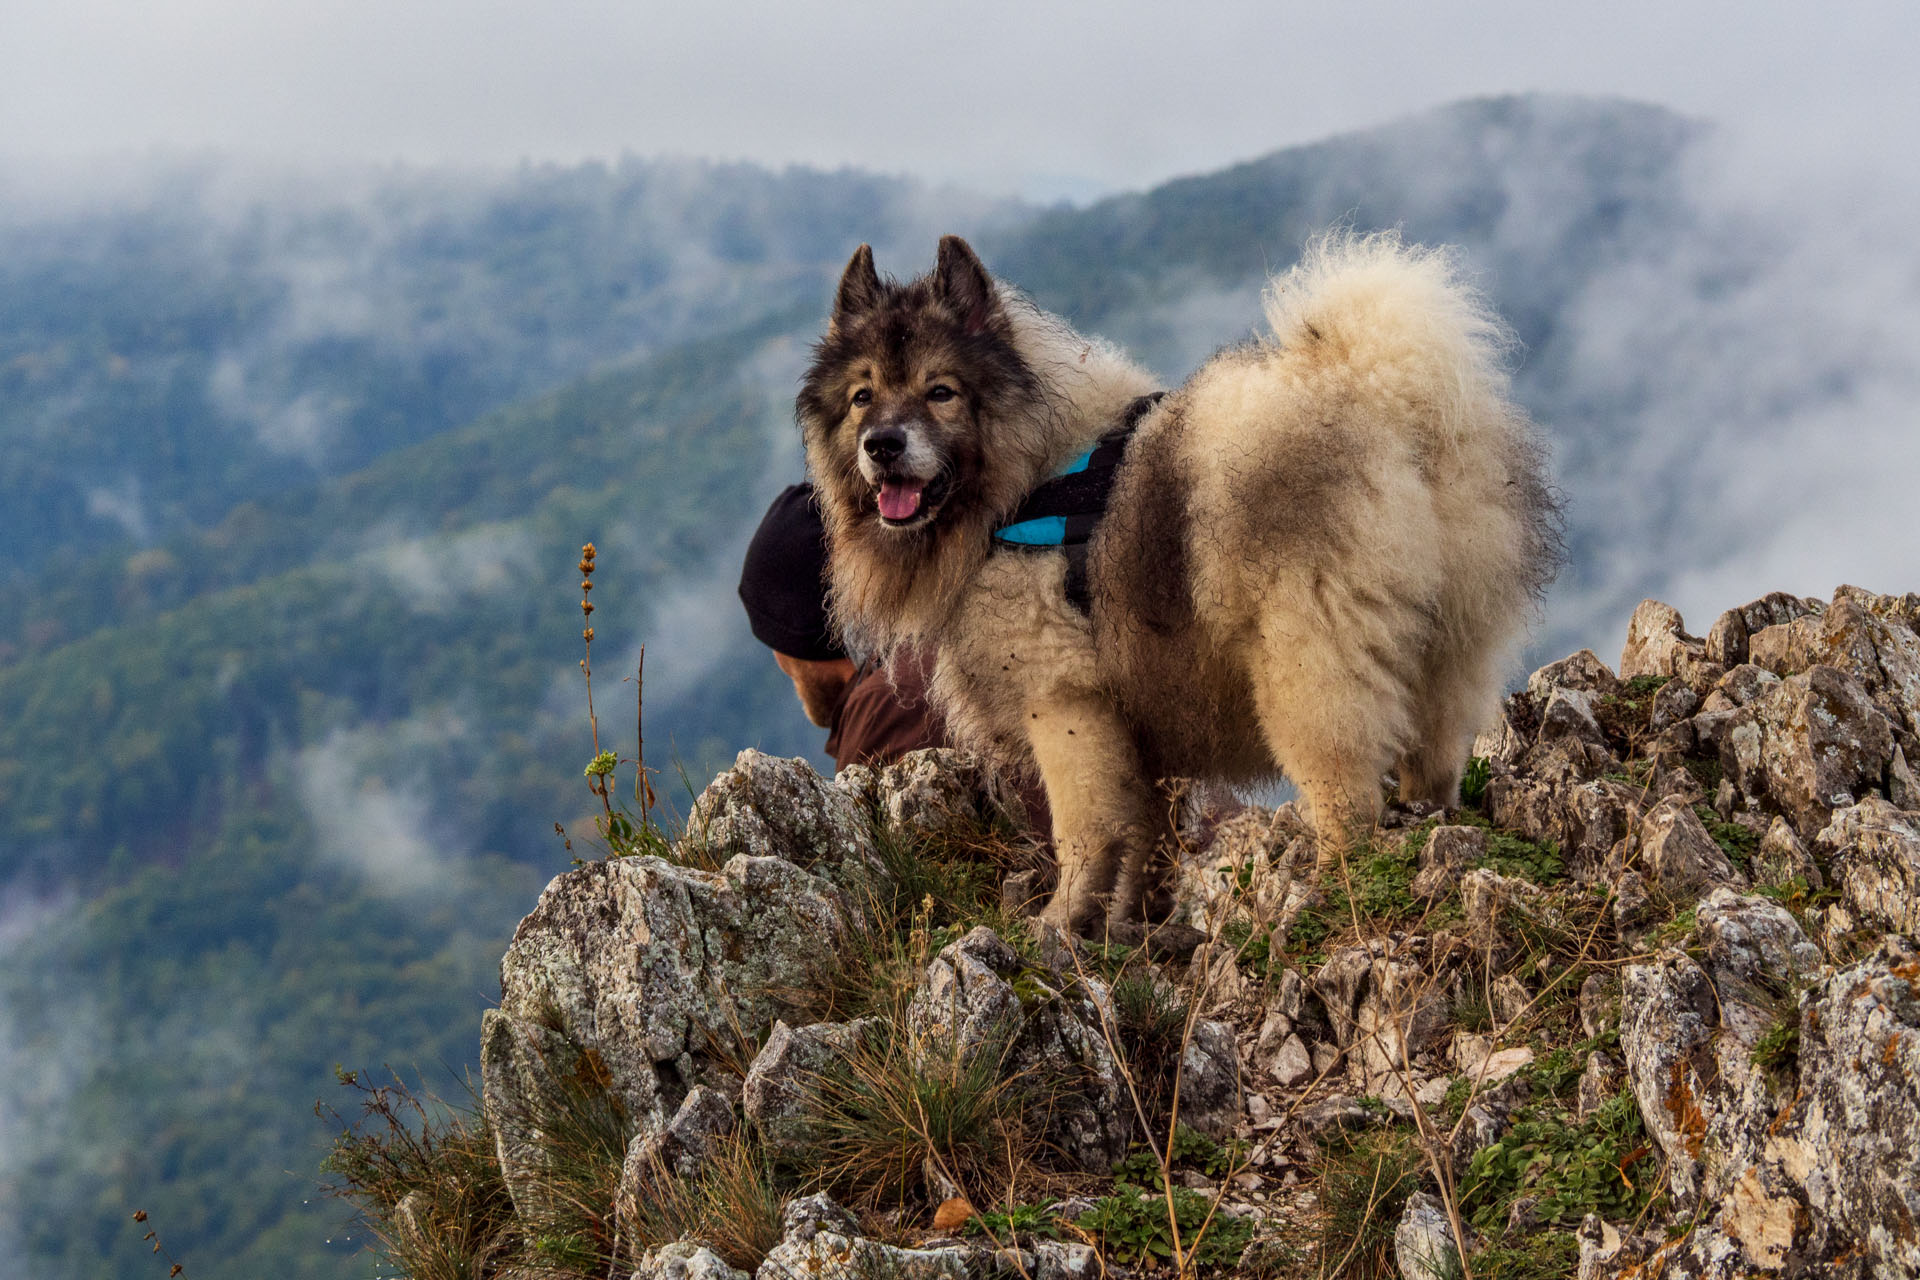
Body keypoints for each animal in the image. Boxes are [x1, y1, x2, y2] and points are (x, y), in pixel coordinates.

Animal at [794, 233, 1559, 932]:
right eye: (862, 397)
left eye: (941, 392)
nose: (882, 445)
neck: (1025, 480)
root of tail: (1384, 395)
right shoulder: (1140, 726)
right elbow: (1148, 837)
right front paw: (1137, 922)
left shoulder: (1065, 704)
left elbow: (1086, 831)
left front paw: (1060, 924)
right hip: (1449, 647)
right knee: (1434, 754)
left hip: (1306, 668)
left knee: (1345, 796)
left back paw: (1326, 893)